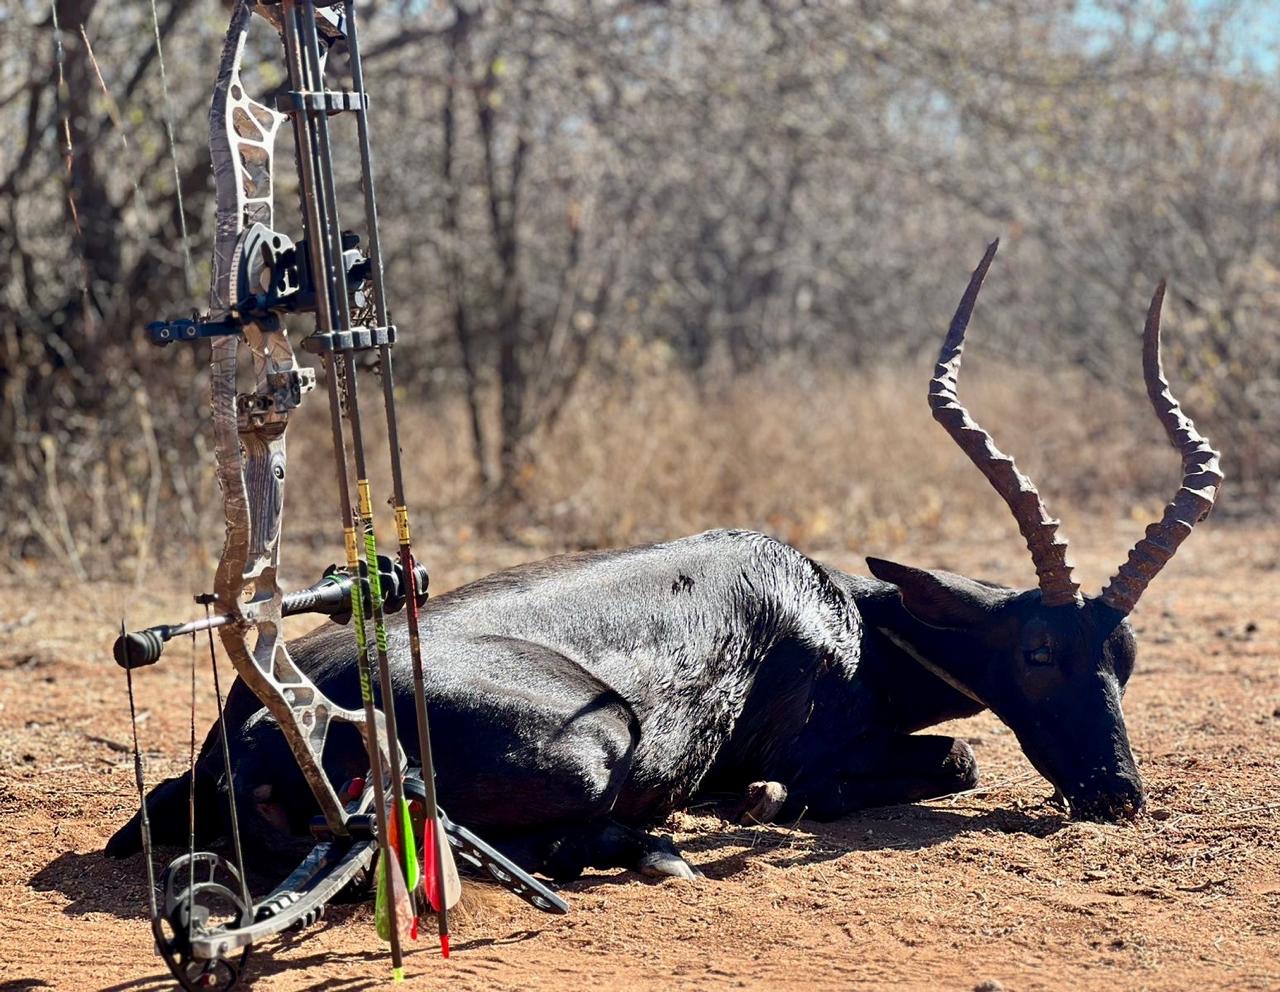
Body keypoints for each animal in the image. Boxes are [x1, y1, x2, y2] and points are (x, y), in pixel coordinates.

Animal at [108, 242, 1223, 883]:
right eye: (1037, 650)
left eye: (1122, 658)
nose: (1117, 790)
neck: (837, 614)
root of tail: (266, 718)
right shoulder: (815, 753)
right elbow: (952, 756)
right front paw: (753, 804)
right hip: (596, 737)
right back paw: (663, 845)